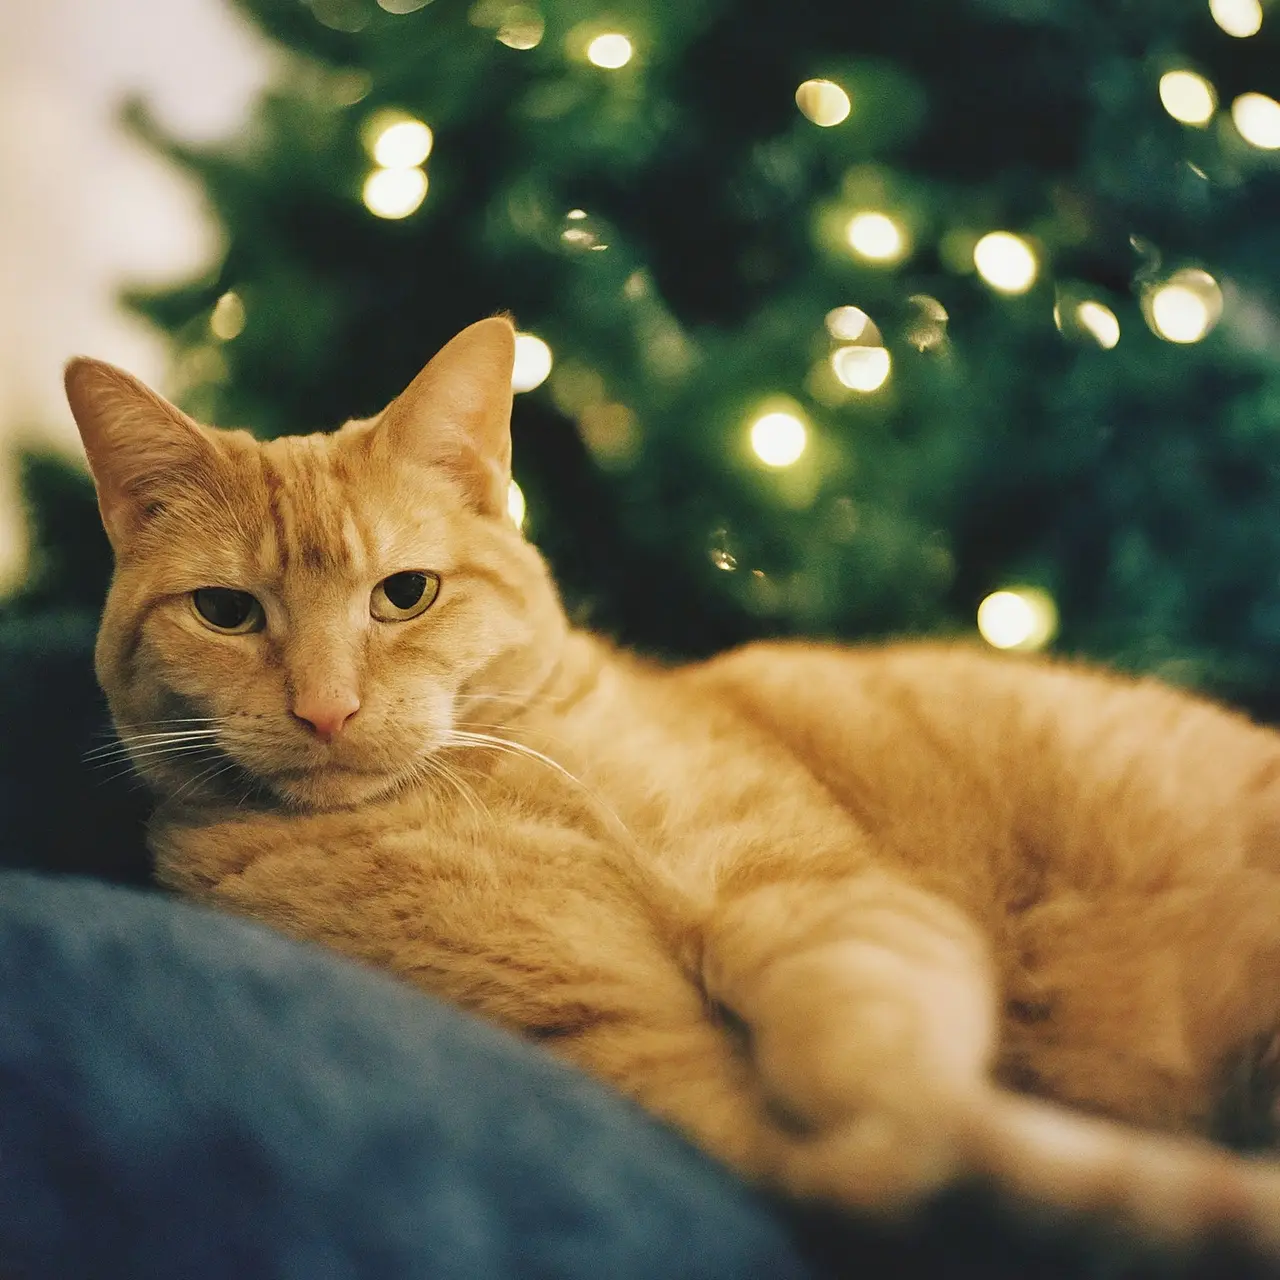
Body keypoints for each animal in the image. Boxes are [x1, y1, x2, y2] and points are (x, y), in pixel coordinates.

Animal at [67, 320, 1280, 1259]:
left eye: (403, 593)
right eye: (227, 612)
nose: (325, 709)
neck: (494, 784)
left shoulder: (810, 895)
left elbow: (865, 1047)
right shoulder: (626, 1046)